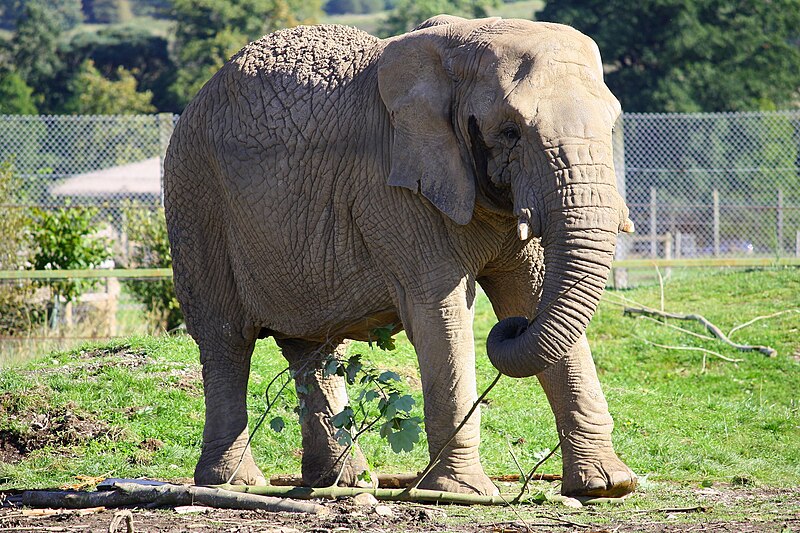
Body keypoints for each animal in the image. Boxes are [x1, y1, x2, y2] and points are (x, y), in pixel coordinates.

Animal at [162, 14, 636, 496]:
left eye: (613, 124)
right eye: (509, 132)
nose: (511, 329)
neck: (462, 47)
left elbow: (532, 293)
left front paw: (606, 486)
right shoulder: (393, 184)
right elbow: (440, 310)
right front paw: (463, 493)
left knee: (313, 351)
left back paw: (345, 481)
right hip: (196, 197)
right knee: (226, 339)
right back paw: (233, 483)